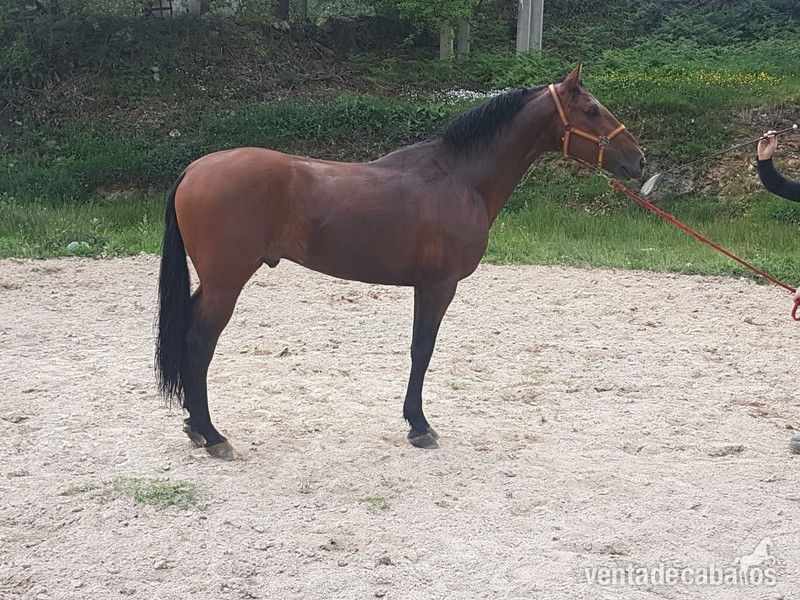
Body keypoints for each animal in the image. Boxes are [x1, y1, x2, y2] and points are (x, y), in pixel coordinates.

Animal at [155, 65, 646, 459]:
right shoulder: (438, 285)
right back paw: (211, 435)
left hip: (213, 283)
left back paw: (194, 426)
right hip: (226, 283)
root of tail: (194, 169)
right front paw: (419, 426)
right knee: (199, 342)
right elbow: (422, 350)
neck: (458, 177)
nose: (638, 160)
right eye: (593, 110)